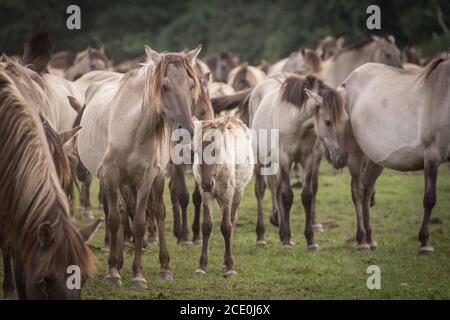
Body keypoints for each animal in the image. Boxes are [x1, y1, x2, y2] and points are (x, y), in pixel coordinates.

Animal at [192, 116, 253, 276]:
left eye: (215, 150)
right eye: (196, 150)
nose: (207, 184)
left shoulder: (227, 194)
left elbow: (226, 226)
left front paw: (230, 267)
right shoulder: (207, 195)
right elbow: (207, 226)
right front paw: (201, 266)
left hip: (237, 193)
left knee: (232, 220)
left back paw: (226, 262)